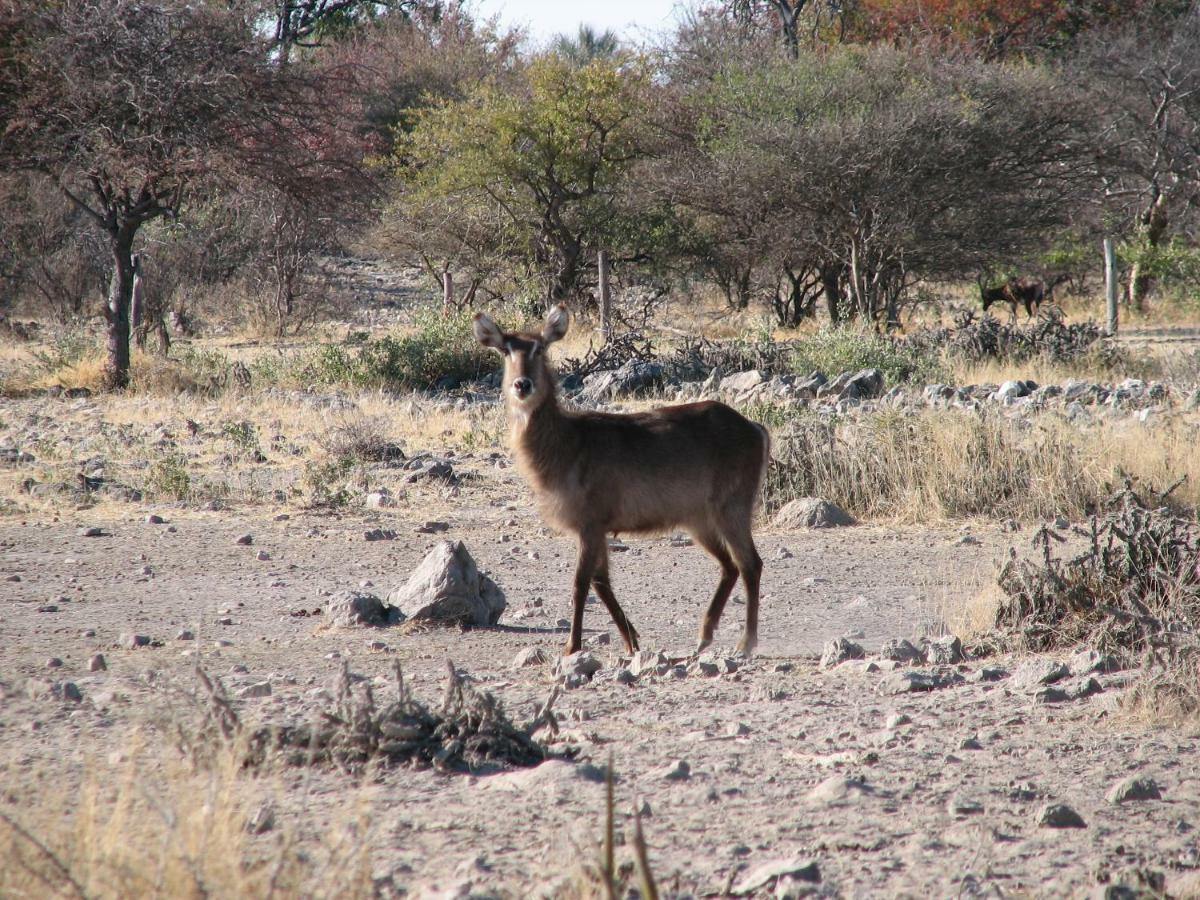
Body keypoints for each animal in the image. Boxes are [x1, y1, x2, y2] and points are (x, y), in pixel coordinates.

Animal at [472, 307, 772, 657]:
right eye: (505, 349)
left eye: (540, 348)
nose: (522, 384)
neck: (567, 445)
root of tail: (755, 428)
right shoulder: (598, 528)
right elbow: (601, 583)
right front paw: (632, 641)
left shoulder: (589, 523)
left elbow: (581, 583)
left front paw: (572, 647)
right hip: (699, 519)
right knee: (730, 565)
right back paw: (704, 637)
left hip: (732, 507)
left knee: (751, 563)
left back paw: (746, 643)